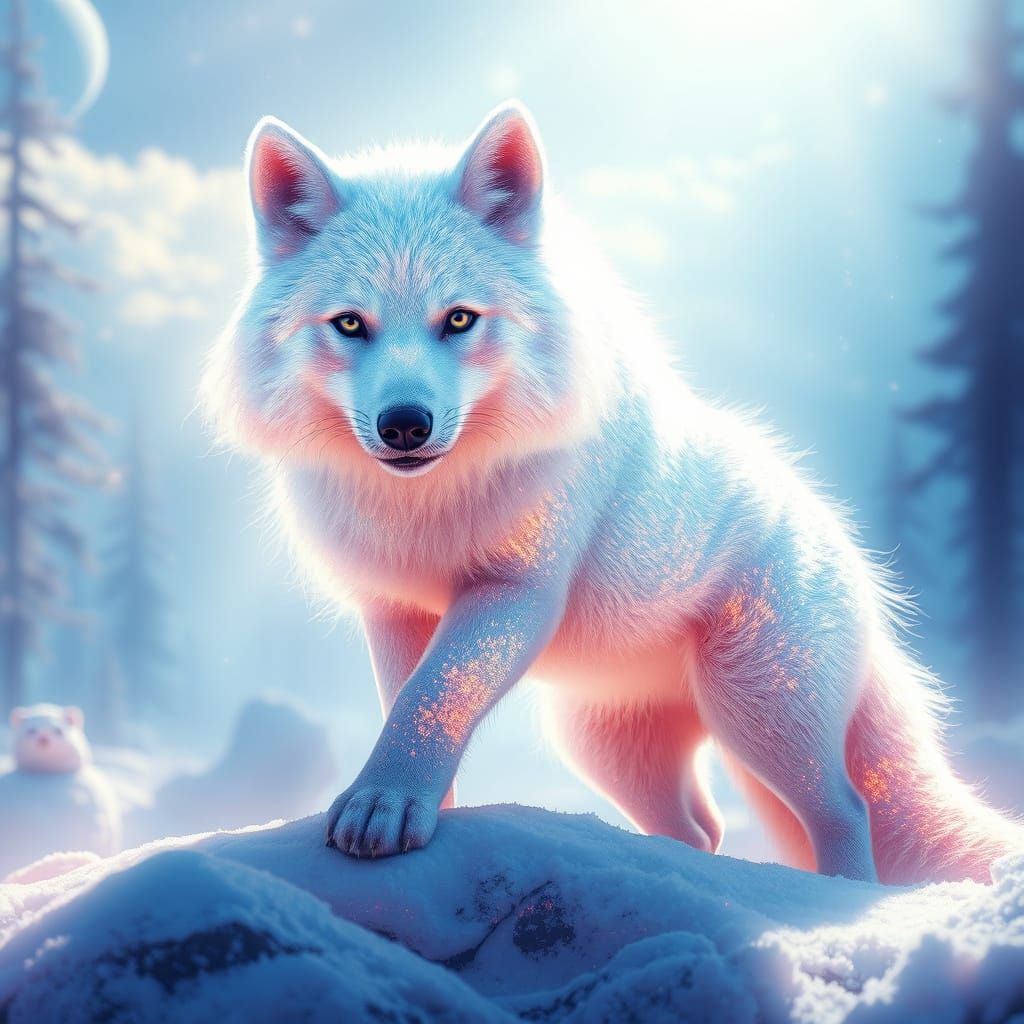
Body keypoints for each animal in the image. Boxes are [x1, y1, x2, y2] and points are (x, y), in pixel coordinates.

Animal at [203, 101, 1020, 883]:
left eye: (459, 319)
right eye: (349, 324)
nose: (405, 425)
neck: (429, 505)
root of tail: (854, 559)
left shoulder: (514, 591)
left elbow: (434, 695)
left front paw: (384, 805)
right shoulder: (395, 609)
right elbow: (412, 702)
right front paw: (413, 813)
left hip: (760, 712)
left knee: (845, 809)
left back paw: (847, 895)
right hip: (607, 747)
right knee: (703, 828)